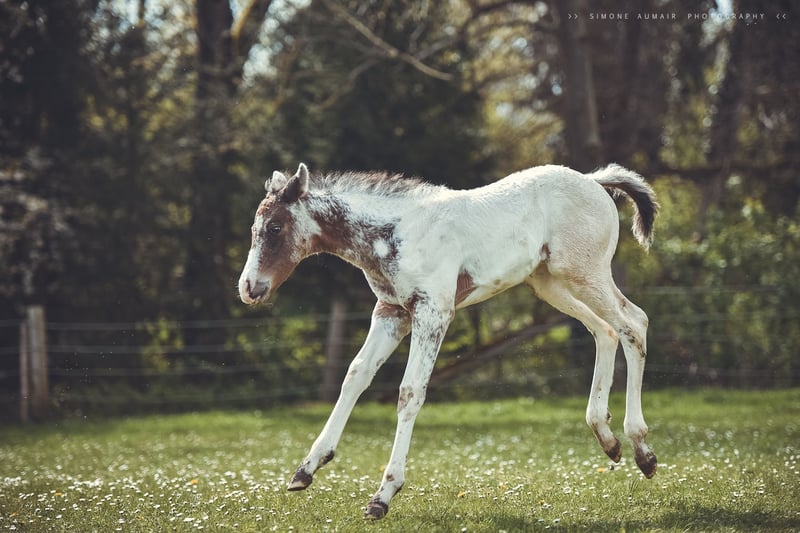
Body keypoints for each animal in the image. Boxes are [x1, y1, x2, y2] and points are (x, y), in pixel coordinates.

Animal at [238, 162, 659, 519]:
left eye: (274, 228)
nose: (249, 288)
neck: (396, 232)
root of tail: (593, 180)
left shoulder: (433, 312)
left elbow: (410, 392)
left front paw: (383, 495)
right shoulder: (391, 312)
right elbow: (355, 376)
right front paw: (306, 470)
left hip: (584, 274)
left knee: (633, 323)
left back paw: (642, 450)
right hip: (549, 282)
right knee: (604, 330)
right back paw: (608, 439)